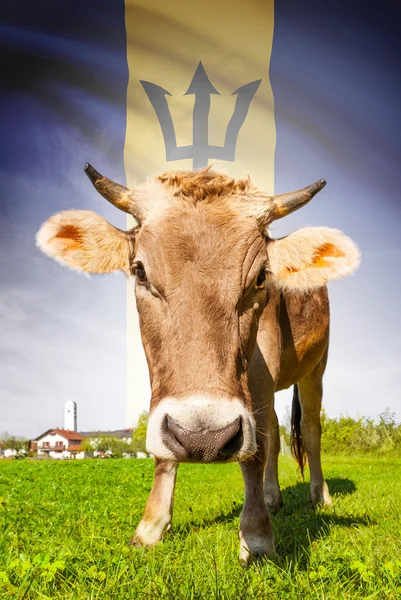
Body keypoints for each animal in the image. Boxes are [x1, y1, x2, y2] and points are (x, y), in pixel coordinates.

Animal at [36, 164, 360, 564]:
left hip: (316, 367)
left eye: (261, 277)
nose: (203, 438)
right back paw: (272, 497)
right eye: (139, 271)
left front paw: (256, 535)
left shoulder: (263, 366)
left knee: (310, 432)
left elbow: (254, 452)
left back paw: (320, 496)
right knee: (271, 430)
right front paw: (150, 527)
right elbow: (167, 448)